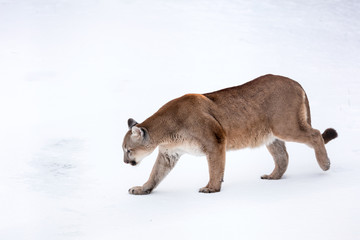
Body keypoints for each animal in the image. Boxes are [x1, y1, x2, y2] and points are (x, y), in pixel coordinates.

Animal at [121, 74, 338, 194]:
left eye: (128, 150)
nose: (124, 162)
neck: (166, 129)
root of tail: (295, 81)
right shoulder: (169, 153)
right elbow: (155, 174)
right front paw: (142, 189)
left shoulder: (215, 141)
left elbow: (215, 167)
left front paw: (211, 187)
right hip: (270, 135)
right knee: (282, 156)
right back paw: (273, 176)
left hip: (285, 126)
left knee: (316, 134)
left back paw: (325, 164)